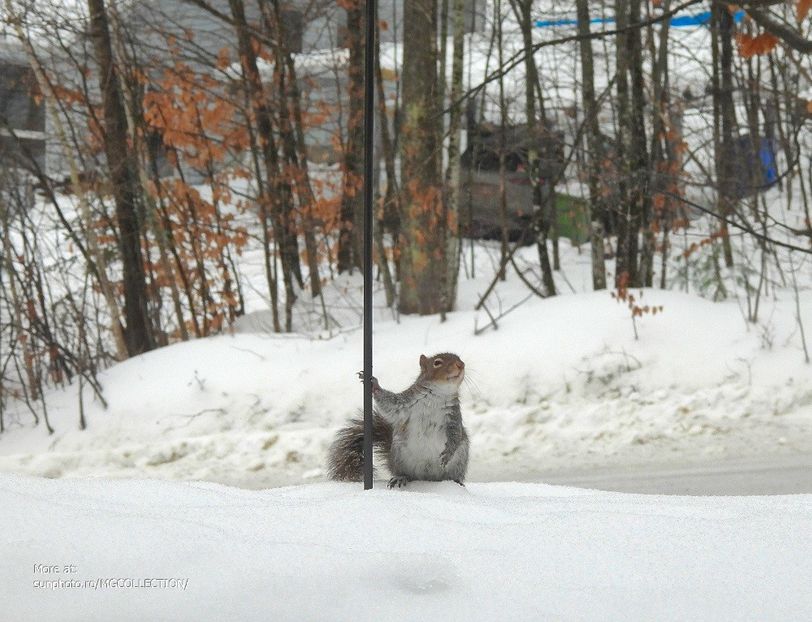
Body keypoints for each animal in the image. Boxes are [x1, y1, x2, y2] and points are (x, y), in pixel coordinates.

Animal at [326, 354, 470, 490]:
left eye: (459, 358)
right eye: (437, 362)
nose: (461, 365)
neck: (438, 395)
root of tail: (427, 478)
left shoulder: (453, 416)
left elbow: (455, 434)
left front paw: (448, 453)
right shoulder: (407, 402)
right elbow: (390, 405)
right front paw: (375, 386)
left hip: (459, 459)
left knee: (452, 474)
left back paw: (456, 481)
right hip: (400, 455)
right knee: (406, 474)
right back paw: (400, 477)